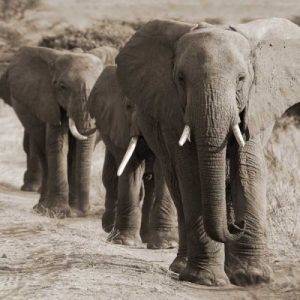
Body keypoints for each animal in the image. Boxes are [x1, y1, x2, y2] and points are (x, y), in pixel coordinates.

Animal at [0, 45, 118, 217]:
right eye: (62, 87)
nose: (84, 212)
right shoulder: (49, 101)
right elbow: (59, 144)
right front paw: (59, 212)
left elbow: (80, 150)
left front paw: (75, 212)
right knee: (44, 152)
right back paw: (41, 208)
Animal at [87, 65, 178, 248]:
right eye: (128, 106)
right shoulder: (119, 123)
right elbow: (130, 169)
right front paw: (124, 242)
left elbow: (163, 170)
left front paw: (166, 244)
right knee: (111, 176)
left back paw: (148, 238)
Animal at [114, 18, 300, 286]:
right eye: (180, 79)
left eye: (242, 79)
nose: (237, 224)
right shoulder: (173, 111)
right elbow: (192, 174)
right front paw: (206, 280)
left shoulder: (254, 105)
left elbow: (249, 168)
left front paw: (252, 277)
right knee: (177, 187)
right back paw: (181, 268)